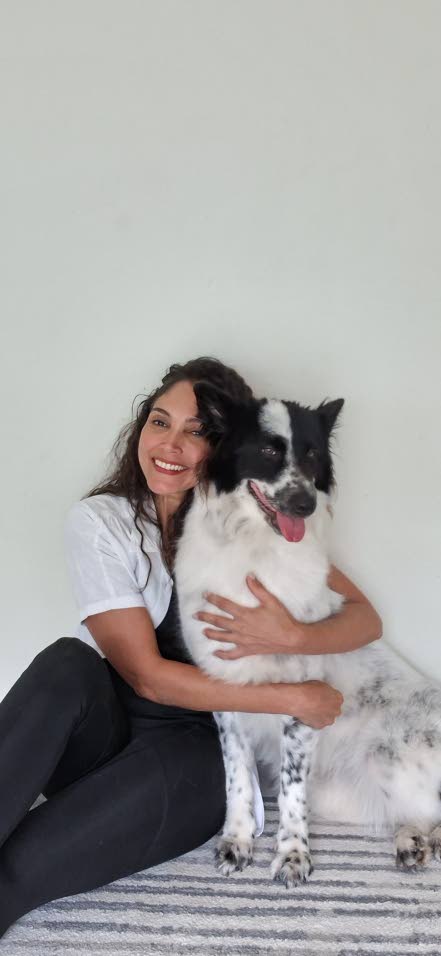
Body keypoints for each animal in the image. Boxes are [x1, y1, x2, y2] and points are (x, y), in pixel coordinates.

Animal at [173, 383, 441, 887]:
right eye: (267, 450)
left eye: (313, 454)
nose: (305, 504)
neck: (256, 552)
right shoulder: (224, 691)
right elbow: (237, 776)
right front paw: (238, 839)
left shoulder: (305, 698)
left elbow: (291, 791)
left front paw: (293, 853)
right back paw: (413, 840)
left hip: (394, 758)